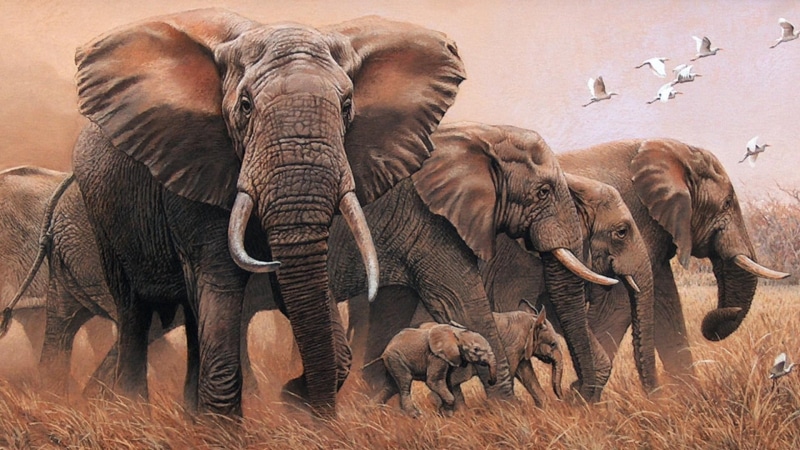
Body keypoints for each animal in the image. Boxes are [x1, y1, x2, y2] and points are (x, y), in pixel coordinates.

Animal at [70, 8, 466, 416]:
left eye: (346, 107)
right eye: (245, 105)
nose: (302, 402)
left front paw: (290, 401)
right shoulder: (192, 163)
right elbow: (219, 280)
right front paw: (227, 424)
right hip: (103, 215)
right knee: (133, 310)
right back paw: (132, 408)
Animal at [550, 139, 790, 377]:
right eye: (727, 203)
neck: (675, 154)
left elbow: (666, 305)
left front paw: (683, 390)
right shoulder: (634, 220)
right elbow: (616, 304)